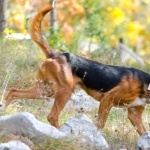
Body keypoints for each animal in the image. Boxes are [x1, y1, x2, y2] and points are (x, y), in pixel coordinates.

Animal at [1, 4, 150, 136]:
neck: (145, 84)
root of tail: (55, 54)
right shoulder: (107, 100)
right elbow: (100, 124)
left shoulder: (134, 114)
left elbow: (143, 132)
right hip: (64, 91)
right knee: (52, 116)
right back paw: (62, 133)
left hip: (44, 90)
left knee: (14, 91)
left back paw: (3, 108)